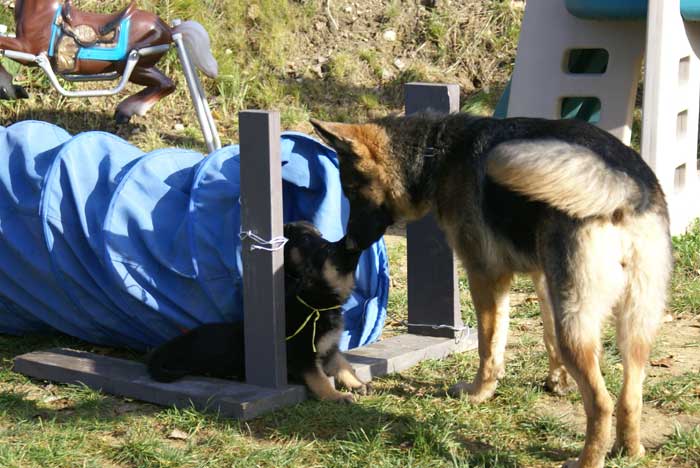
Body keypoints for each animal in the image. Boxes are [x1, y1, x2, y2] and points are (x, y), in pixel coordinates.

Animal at [146, 222, 370, 402]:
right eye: (307, 239)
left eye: (321, 235)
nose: (344, 241)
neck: (315, 304)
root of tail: (163, 348)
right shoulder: (303, 355)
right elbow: (320, 378)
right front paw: (336, 396)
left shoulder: (329, 348)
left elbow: (343, 364)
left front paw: (356, 383)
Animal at [312, 114, 672, 468]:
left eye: (352, 190)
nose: (349, 244)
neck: (436, 150)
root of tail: (629, 190)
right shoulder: (543, 279)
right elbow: (548, 337)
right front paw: (556, 381)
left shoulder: (485, 278)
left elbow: (489, 346)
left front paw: (478, 393)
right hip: (634, 327)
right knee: (630, 396)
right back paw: (629, 450)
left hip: (578, 324)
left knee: (601, 402)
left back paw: (587, 460)